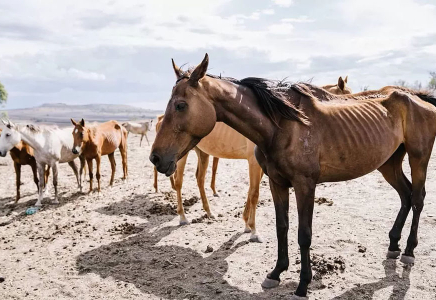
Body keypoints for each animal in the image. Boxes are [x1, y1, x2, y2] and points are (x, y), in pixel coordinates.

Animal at [150, 53, 436, 298]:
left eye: (181, 105)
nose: (156, 158)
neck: (282, 126)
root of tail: (420, 100)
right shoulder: (277, 183)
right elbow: (282, 227)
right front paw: (275, 273)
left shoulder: (305, 185)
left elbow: (304, 234)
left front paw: (302, 284)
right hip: (389, 163)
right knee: (405, 195)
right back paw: (393, 246)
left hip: (418, 158)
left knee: (417, 198)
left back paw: (409, 250)